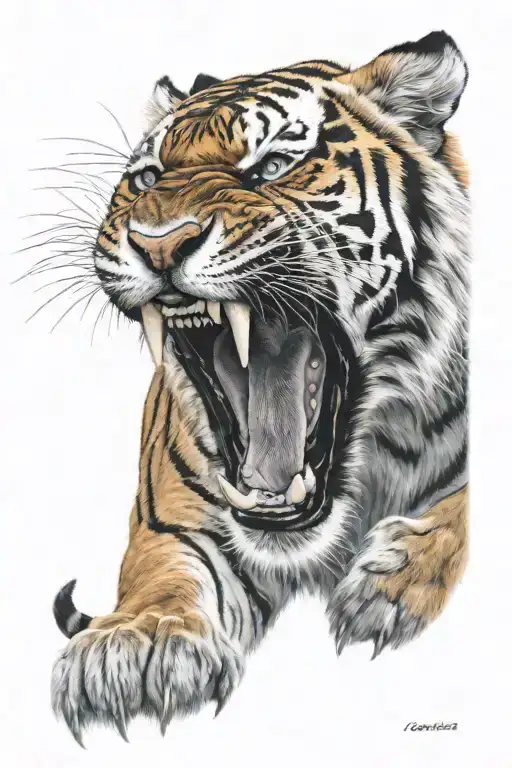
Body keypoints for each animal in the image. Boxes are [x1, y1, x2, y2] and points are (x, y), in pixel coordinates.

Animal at [51, 30, 470, 744]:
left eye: (272, 167)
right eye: (147, 178)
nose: (158, 243)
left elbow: (461, 513)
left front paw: (391, 587)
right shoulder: (172, 519)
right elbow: (162, 575)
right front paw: (138, 644)